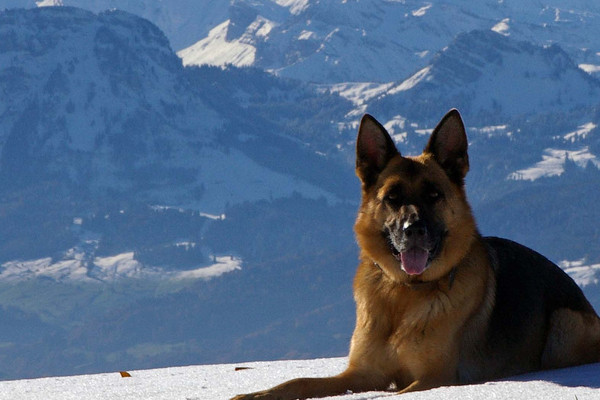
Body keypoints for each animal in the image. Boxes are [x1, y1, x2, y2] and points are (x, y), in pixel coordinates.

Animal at [231, 109, 600, 400]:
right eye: (392, 197)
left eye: (434, 195)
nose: (413, 230)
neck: (403, 293)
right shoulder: (362, 373)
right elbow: (299, 381)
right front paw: (256, 394)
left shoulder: (435, 378)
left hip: (563, 325)